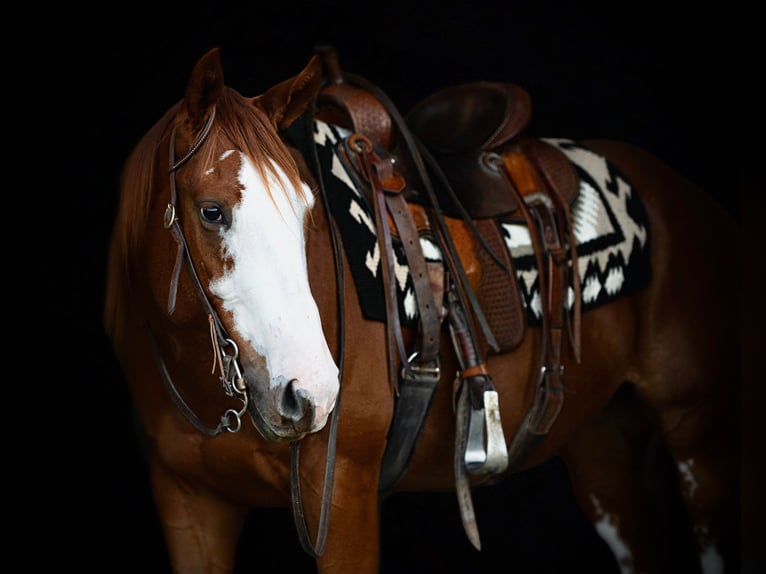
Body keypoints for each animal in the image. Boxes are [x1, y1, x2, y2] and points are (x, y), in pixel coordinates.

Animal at [104, 46, 740, 574]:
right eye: (211, 212)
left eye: (307, 210)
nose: (310, 393)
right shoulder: (189, 508)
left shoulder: (345, 496)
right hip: (601, 440)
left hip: (697, 438)